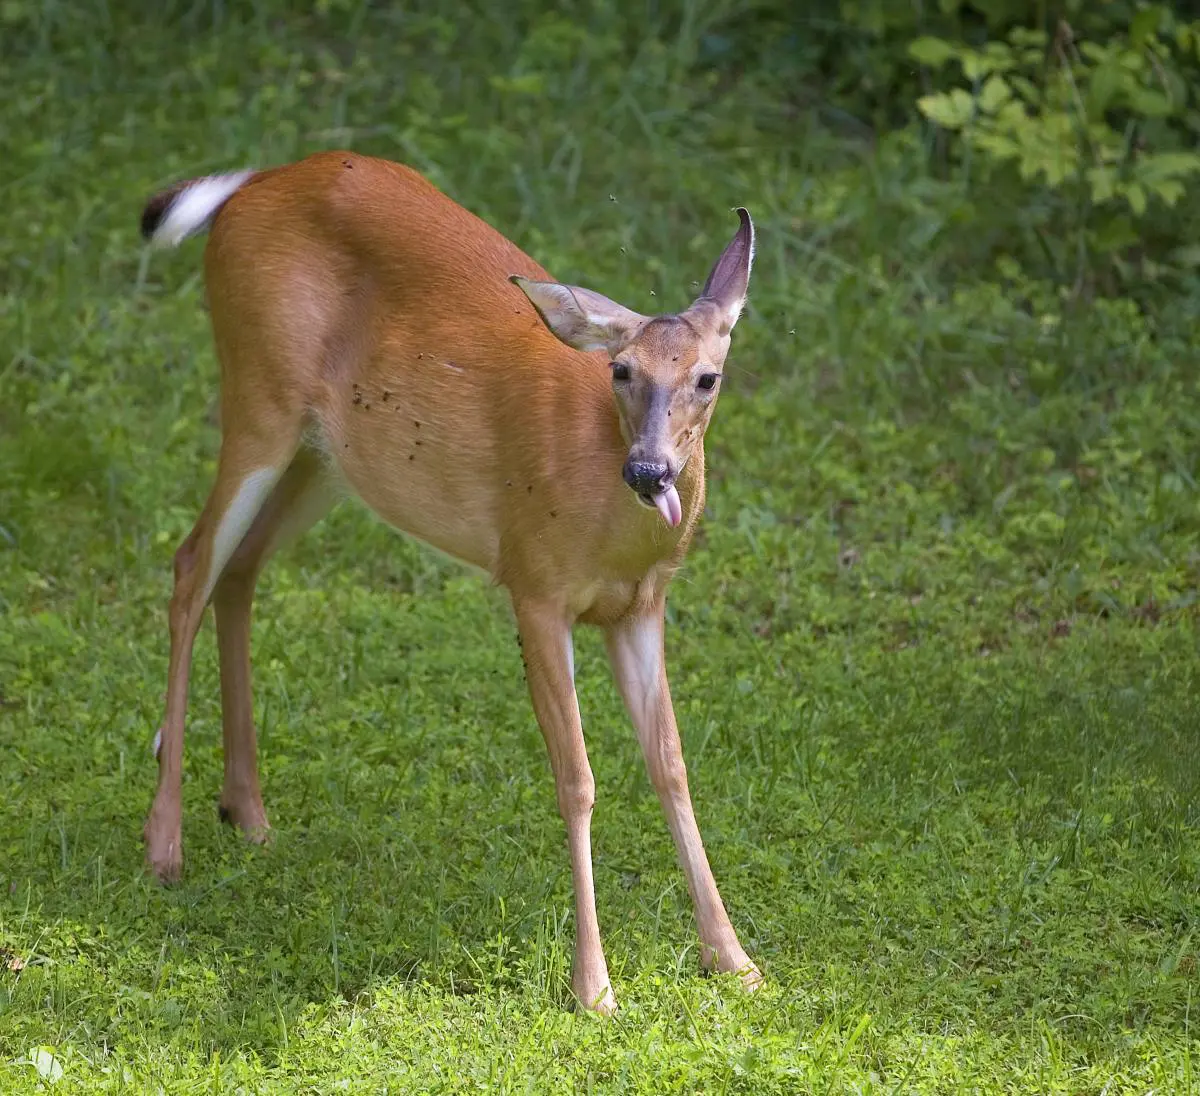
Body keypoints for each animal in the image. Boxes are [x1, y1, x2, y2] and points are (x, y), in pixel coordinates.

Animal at [137, 151, 758, 1014]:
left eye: (707, 378)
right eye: (621, 369)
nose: (649, 471)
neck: (607, 518)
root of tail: (253, 182)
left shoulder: (641, 606)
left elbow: (670, 764)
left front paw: (734, 959)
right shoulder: (533, 584)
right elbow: (577, 777)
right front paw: (593, 987)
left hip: (328, 457)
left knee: (241, 569)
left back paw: (248, 812)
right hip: (258, 396)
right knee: (192, 563)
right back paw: (164, 844)